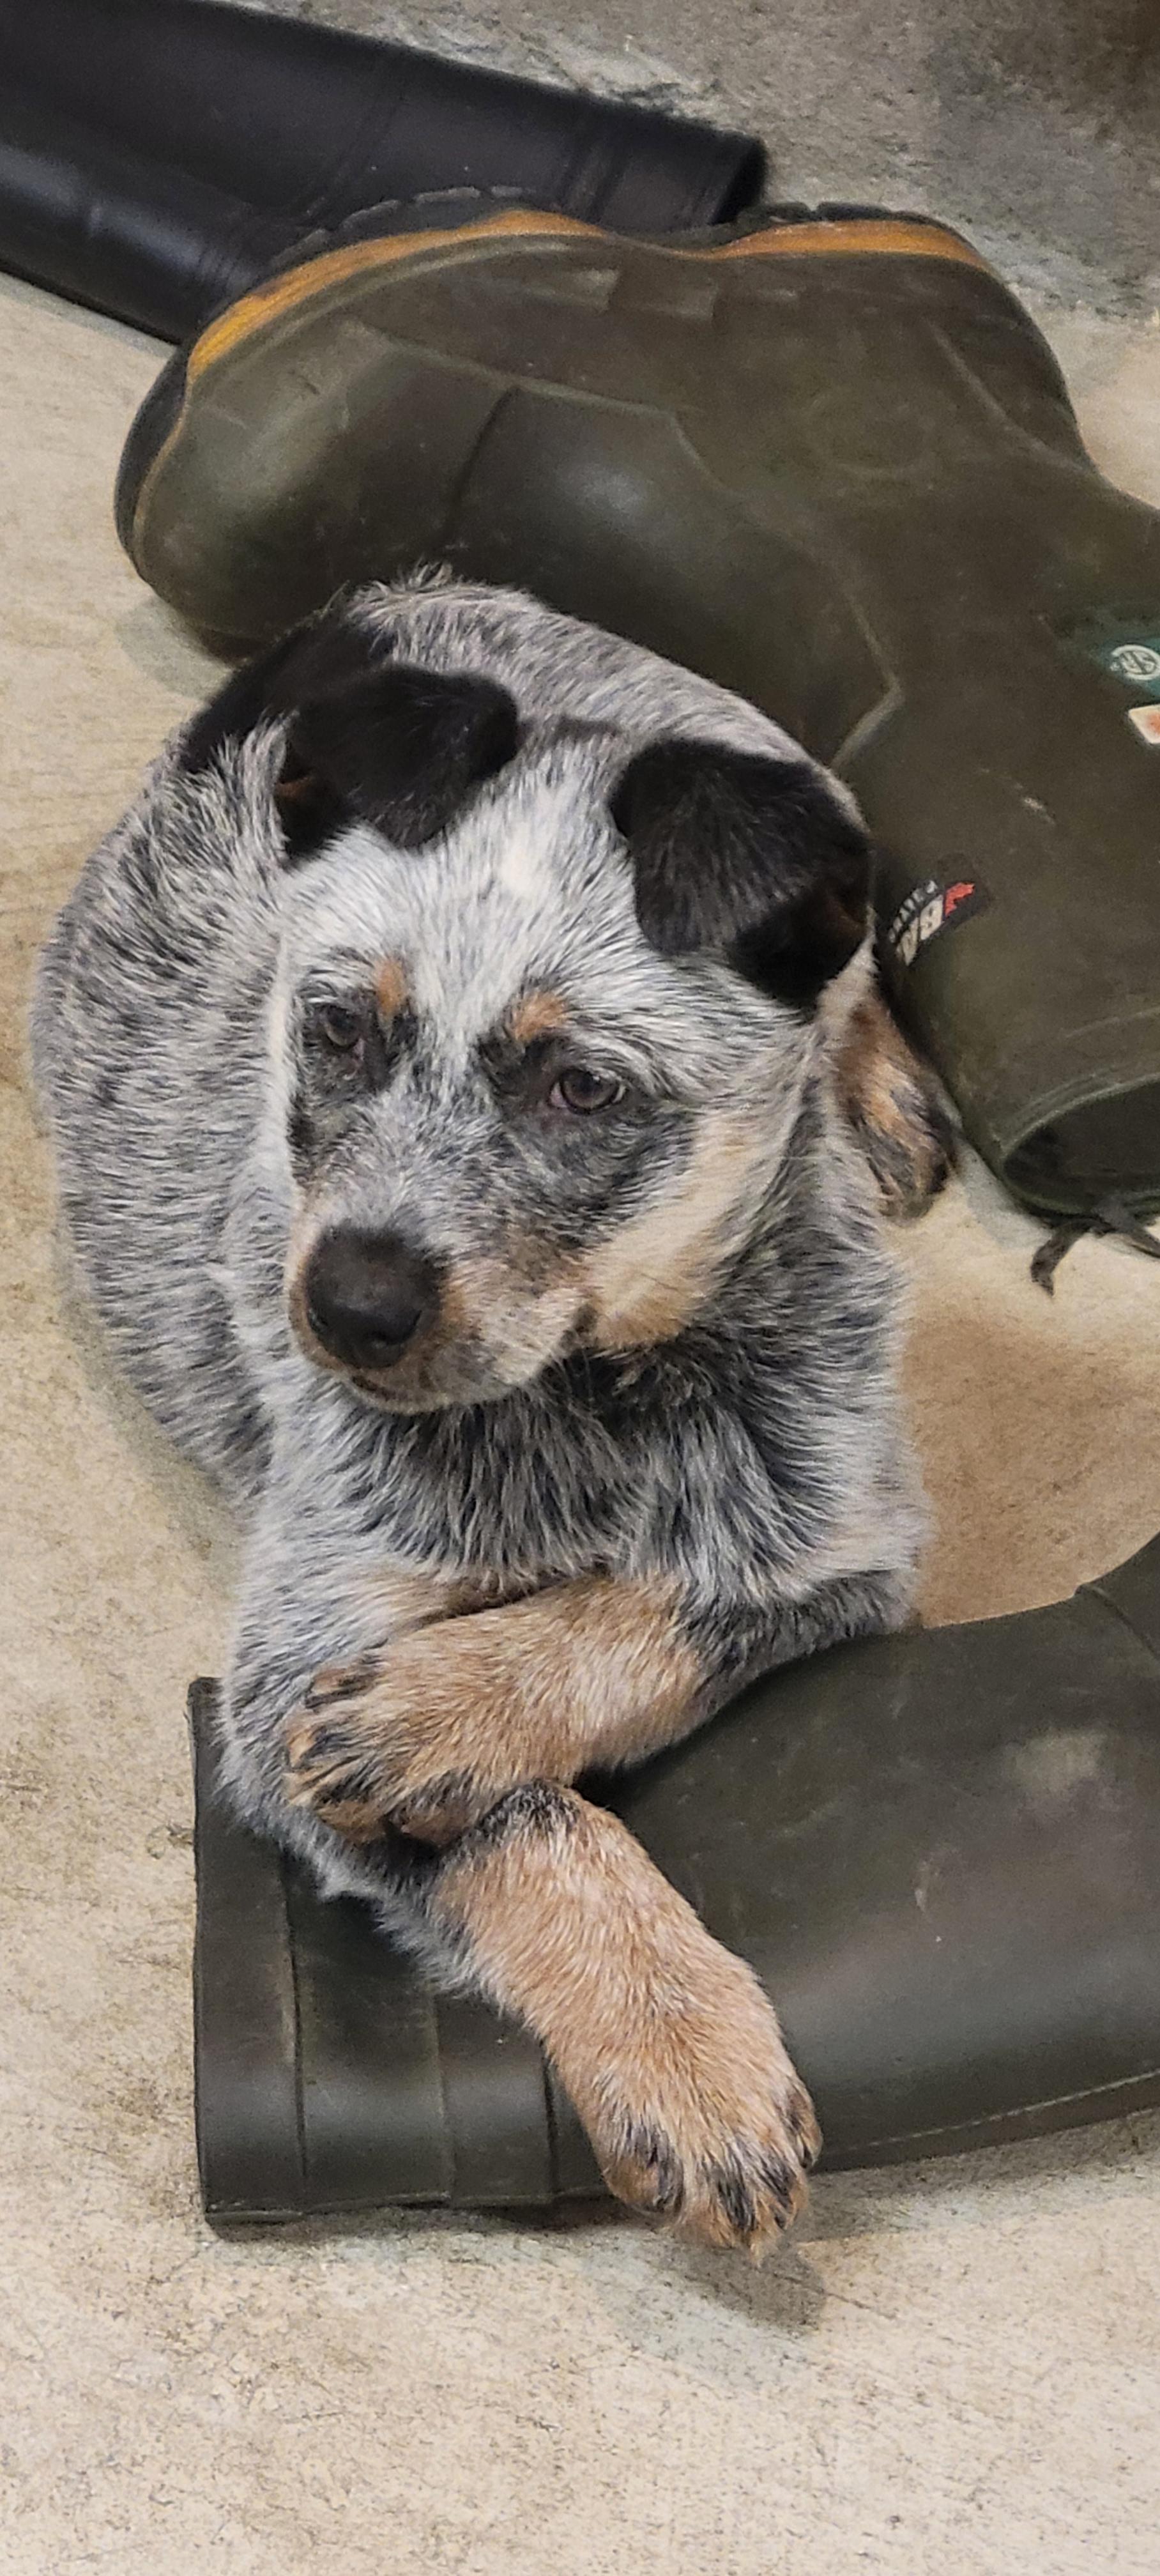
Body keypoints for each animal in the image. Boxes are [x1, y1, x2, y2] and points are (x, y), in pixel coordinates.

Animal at [31, 574, 949, 2246]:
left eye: (580, 1088)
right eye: (333, 1030)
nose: (345, 1305)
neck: (603, 1390)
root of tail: (374, 605)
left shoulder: (847, 1549)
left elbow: (662, 1604)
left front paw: (438, 1712)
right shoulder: (282, 1685)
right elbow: (521, 1826)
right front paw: (683, 2050)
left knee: (850, 972)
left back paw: (883, 1099)